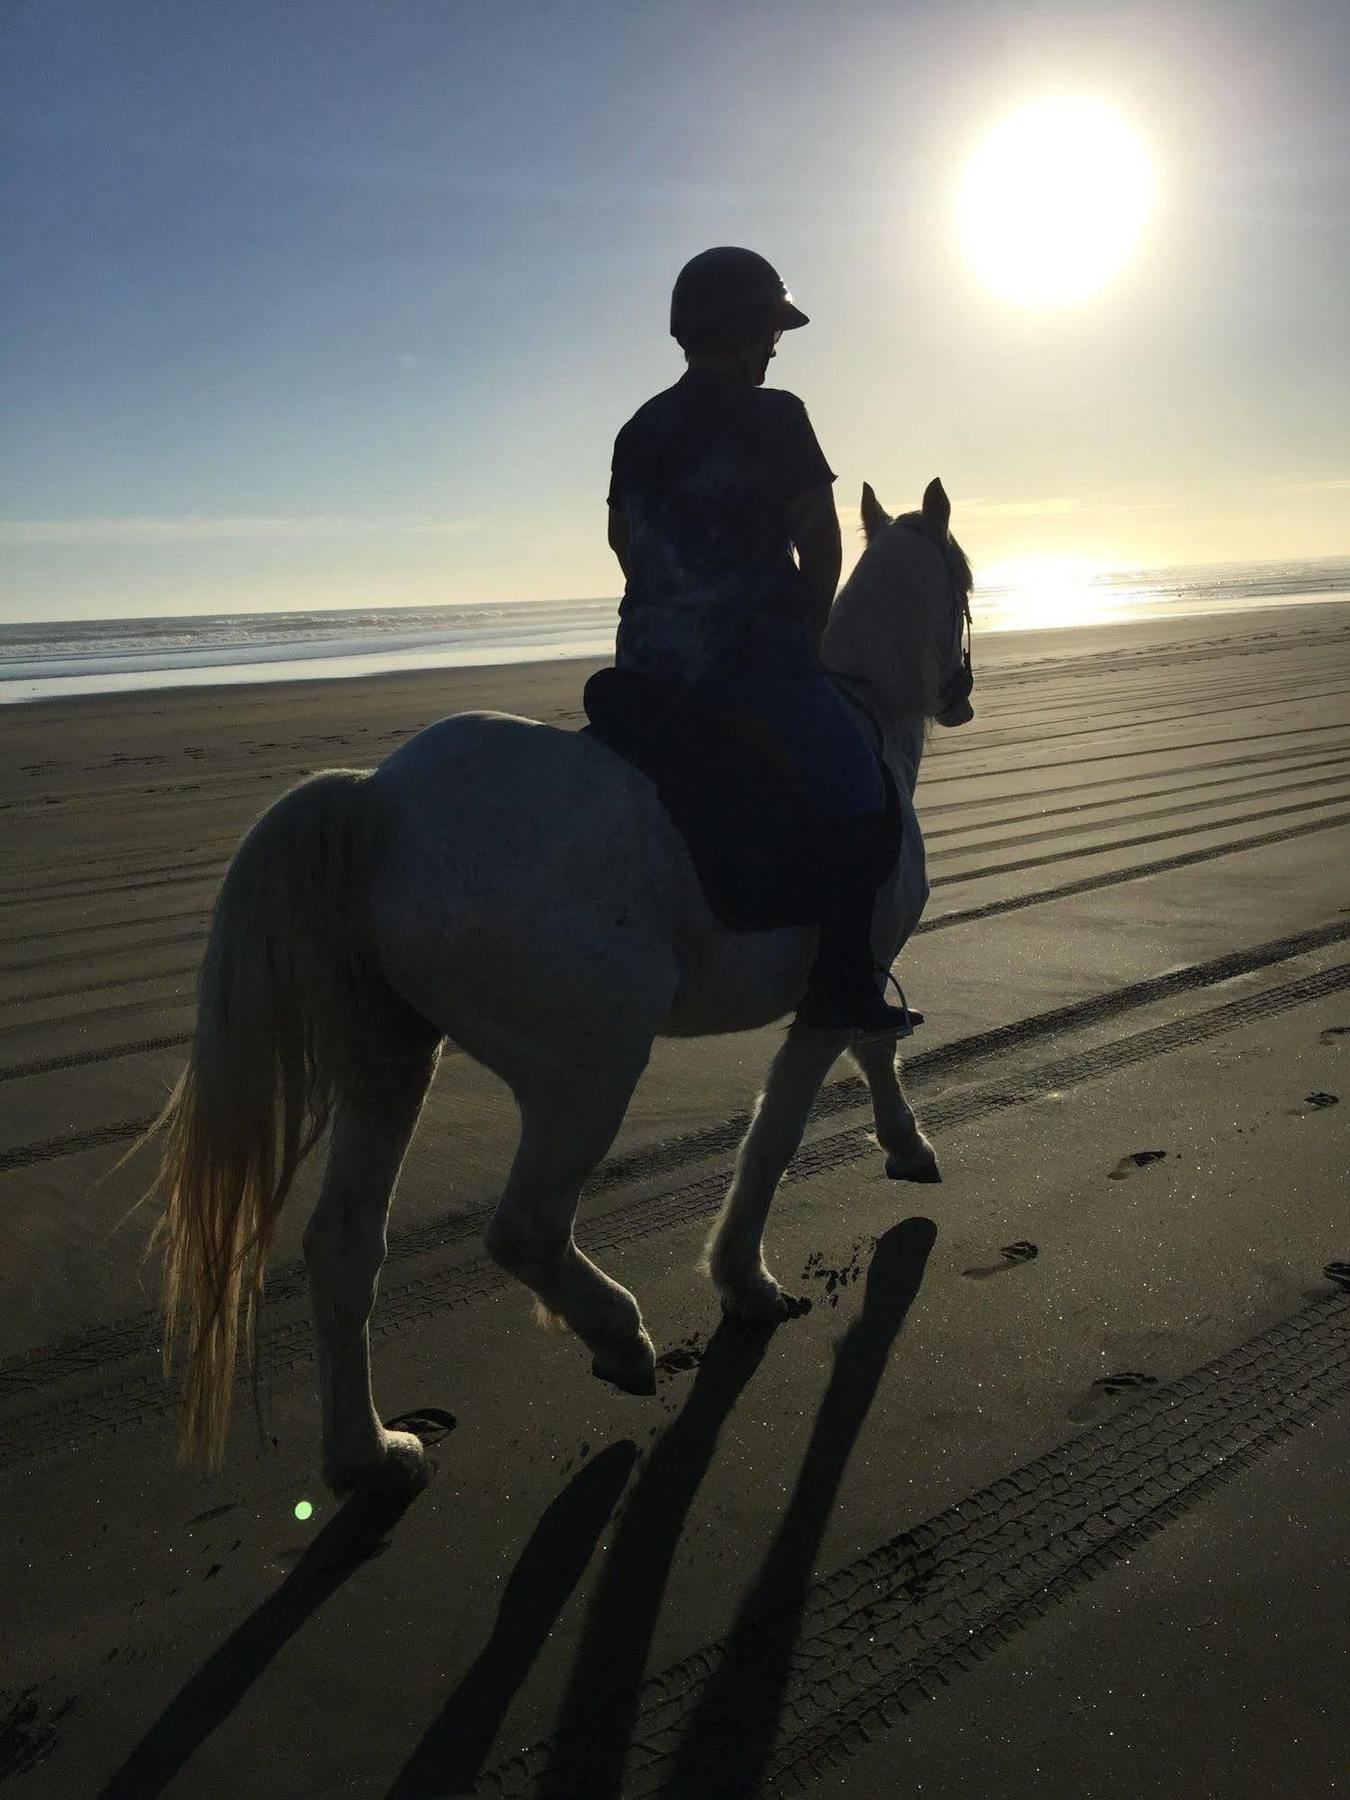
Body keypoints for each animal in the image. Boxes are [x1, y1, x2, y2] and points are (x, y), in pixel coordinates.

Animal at [143, 478, 979, 1504]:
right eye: (964, 580)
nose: (961, 693)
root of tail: (379, 801)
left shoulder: (844, 985)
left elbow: (867, 1051)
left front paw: (902, 1150)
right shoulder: (837, 986)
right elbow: (784, 1127)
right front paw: (747, 1277)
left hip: (393, 1059)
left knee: (344, 1248)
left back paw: (369, 1456)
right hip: (589, 1069)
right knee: (527, 1229)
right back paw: (620, 1339)